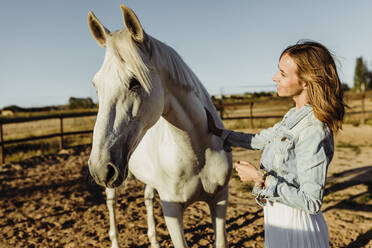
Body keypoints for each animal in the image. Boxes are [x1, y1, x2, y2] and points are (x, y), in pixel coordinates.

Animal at [88, 5, 232, 248]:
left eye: (134, 82)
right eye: (96, 86)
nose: (100, 169)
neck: (197, 152)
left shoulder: (220, 199)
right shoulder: (172, 209)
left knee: (147, 199)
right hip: (113, 183)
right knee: (111, 203)